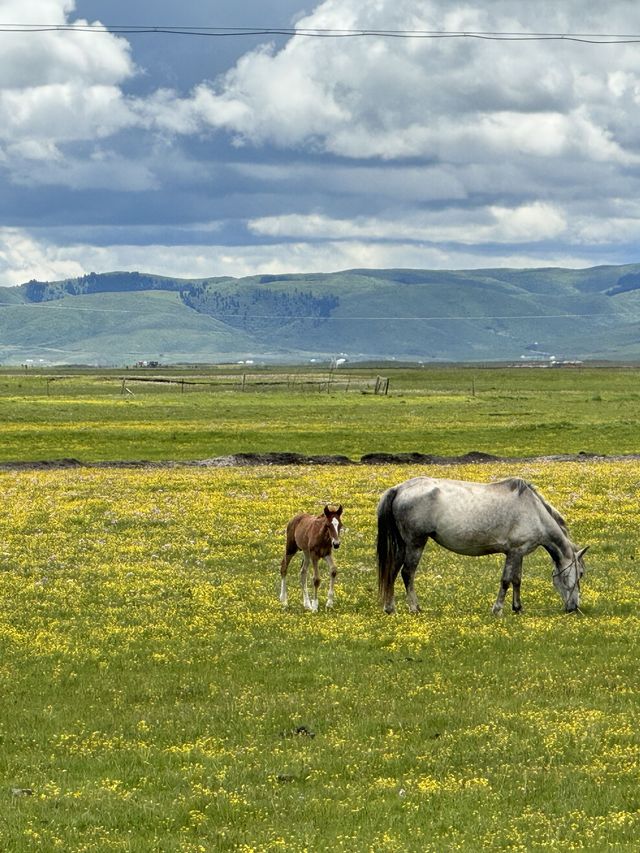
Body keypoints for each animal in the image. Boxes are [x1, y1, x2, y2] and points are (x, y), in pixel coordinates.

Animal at [376, 480, 592, 612]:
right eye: (580, 573)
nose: (574, 607)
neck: (534, 512)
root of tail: (399, 489)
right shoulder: (513, 552)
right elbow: (506, 580)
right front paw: (497, 609)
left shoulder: (518, 552)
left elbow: (517, 580)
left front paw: (517, 608)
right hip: (415, 543)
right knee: (407, 573)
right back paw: (415, 608)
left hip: (403, 545)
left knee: (393, 571)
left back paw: (390, 608)